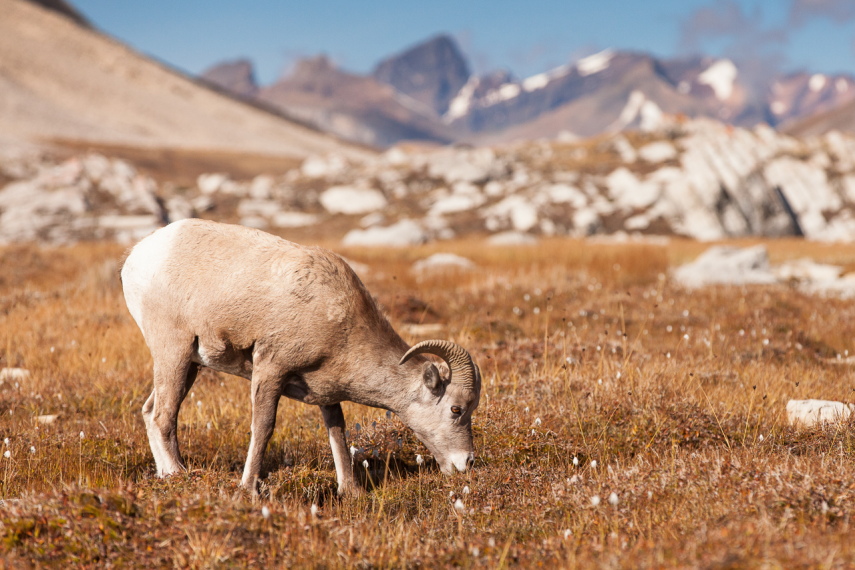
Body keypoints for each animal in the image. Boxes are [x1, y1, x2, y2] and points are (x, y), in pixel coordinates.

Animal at [120, 219, 482, 492]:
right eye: (456, 409)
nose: (467, 462)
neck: (336, 315)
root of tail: (137, 256)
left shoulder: (326, 394)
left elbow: (337, 432)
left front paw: (350, 491)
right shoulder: (271, 370)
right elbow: (263, 427)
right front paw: (248, 489)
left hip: (191, 365)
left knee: (150, 411)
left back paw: (166, 475)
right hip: (174, 354)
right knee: (163, 416)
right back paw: (179, 475)